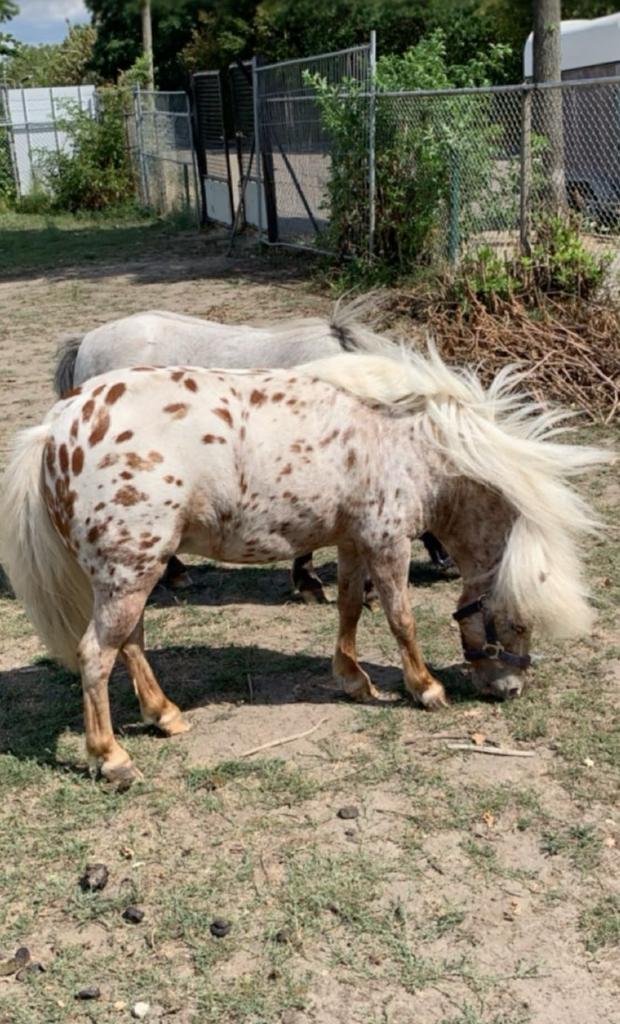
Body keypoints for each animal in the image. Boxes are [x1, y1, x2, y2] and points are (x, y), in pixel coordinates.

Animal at [1, 342, 609, 786]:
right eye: (518, 622)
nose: (512, 689)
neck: (408, 440)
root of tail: (56, 426)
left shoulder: (353, 541)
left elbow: (350, 608)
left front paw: (354, 680)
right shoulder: (387, 542)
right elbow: (401, 619)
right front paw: (425, 689)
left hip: (130, 575)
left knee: (129, 644)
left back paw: (165, 715)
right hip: (129, 574)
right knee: (96, 655)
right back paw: (111, 758)